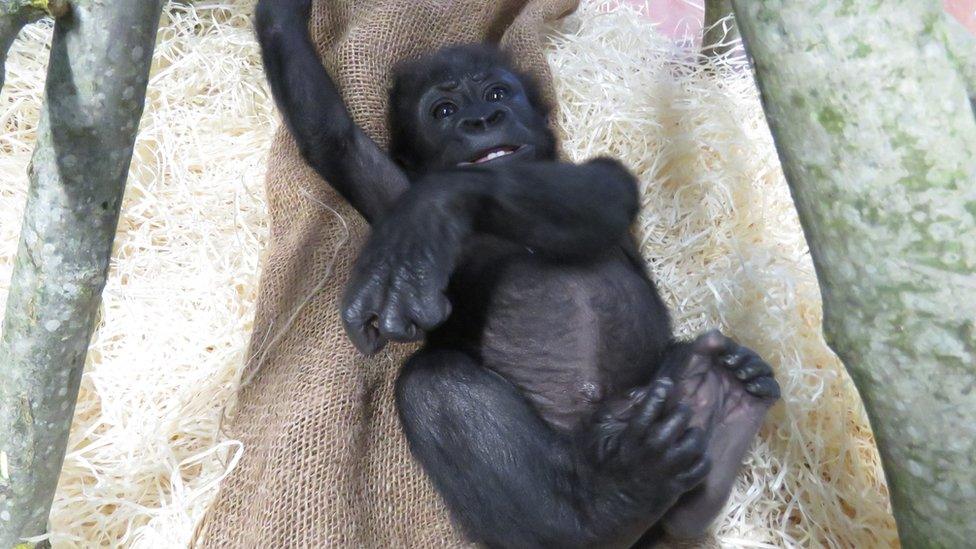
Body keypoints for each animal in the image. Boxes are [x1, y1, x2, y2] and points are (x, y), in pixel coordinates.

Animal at [258, 2, 776, 544]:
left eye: (496, 93)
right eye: (444, 112)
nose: (483, 119)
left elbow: (606, 188)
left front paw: (434, 210)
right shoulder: (385, 186)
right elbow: (332, 138)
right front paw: (281, 18)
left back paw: (718, 402)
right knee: (437, 387)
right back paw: (613, 502)